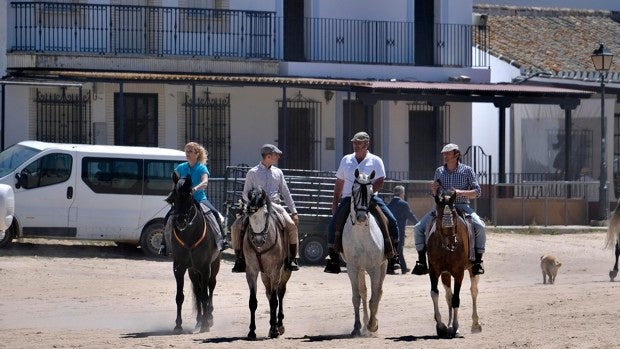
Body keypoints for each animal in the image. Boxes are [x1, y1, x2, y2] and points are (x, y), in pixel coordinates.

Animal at [166, 173, 222, 334]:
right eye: (173, 199)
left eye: (189, 196)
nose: (180, 221)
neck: (189, 236)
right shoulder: (179, 268)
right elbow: (180, 296)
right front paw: (178, 325)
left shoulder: (205, 267)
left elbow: (205, 295)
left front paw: (205, 325)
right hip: (193, 270)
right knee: (197, 290)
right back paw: (199, 320)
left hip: (214, 265)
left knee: (210, 286)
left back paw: (208, 318)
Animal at [241, 186, 292, 338]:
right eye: (250, 214)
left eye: (265, 214)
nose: (258, 240)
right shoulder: (251, 272)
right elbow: (253, 301)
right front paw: (252, 331)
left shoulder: (276, 271)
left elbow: (275, 301)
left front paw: (275, 330)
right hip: (265, 275)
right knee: (269, 294)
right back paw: (271, 324)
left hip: (284, 273)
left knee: (280, 293)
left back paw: (279, 325)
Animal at [342, 167, 386, 336]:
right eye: (354, 190)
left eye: (371, 191)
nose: (361, 217)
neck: (361, 234)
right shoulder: (353, 268)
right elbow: (357, 297)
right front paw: (357, 326)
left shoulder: (374, 268)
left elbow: (374, 297)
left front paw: (373, 325)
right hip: (361, 269)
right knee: (364, 292)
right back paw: (364, 325)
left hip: (383, 266)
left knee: (378, 292)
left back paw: (372, 324)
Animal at [424, 188, 482, 338]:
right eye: (439, 217)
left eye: (454, 215)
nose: (452, 243)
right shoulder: (434, 270)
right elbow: (435, 294)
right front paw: (441, 326)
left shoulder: (458, 272)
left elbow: (457, 299)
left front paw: (455, 327)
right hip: (445, 274)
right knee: (448, 296)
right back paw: (449, 325)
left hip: (472, 269)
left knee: (474, 291)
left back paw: (475, 324)